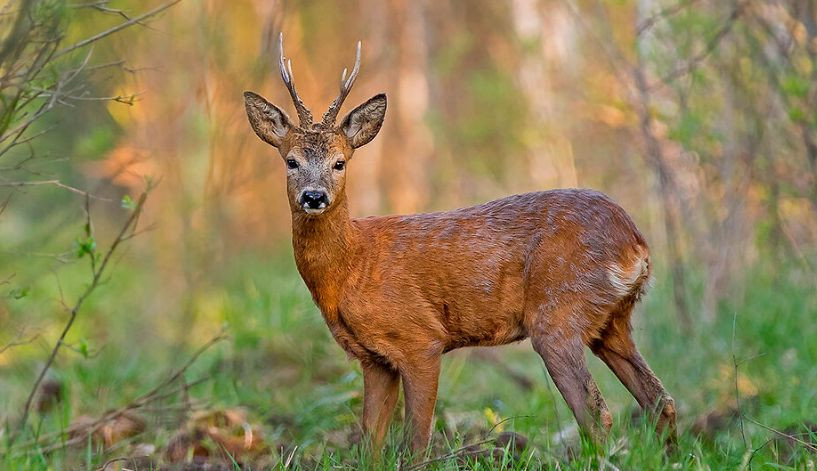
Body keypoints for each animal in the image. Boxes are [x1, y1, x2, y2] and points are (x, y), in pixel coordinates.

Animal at [242, 34, 676, 458]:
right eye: (291, 161)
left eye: (339, 162)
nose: (314, 197)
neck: (352, 266)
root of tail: (635, 244)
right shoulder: (374, 359)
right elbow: (370, 445)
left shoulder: (420, 339)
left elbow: (415, 443)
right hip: (611, 321)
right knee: (660, 399)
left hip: (559, 311)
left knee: (597, 413)